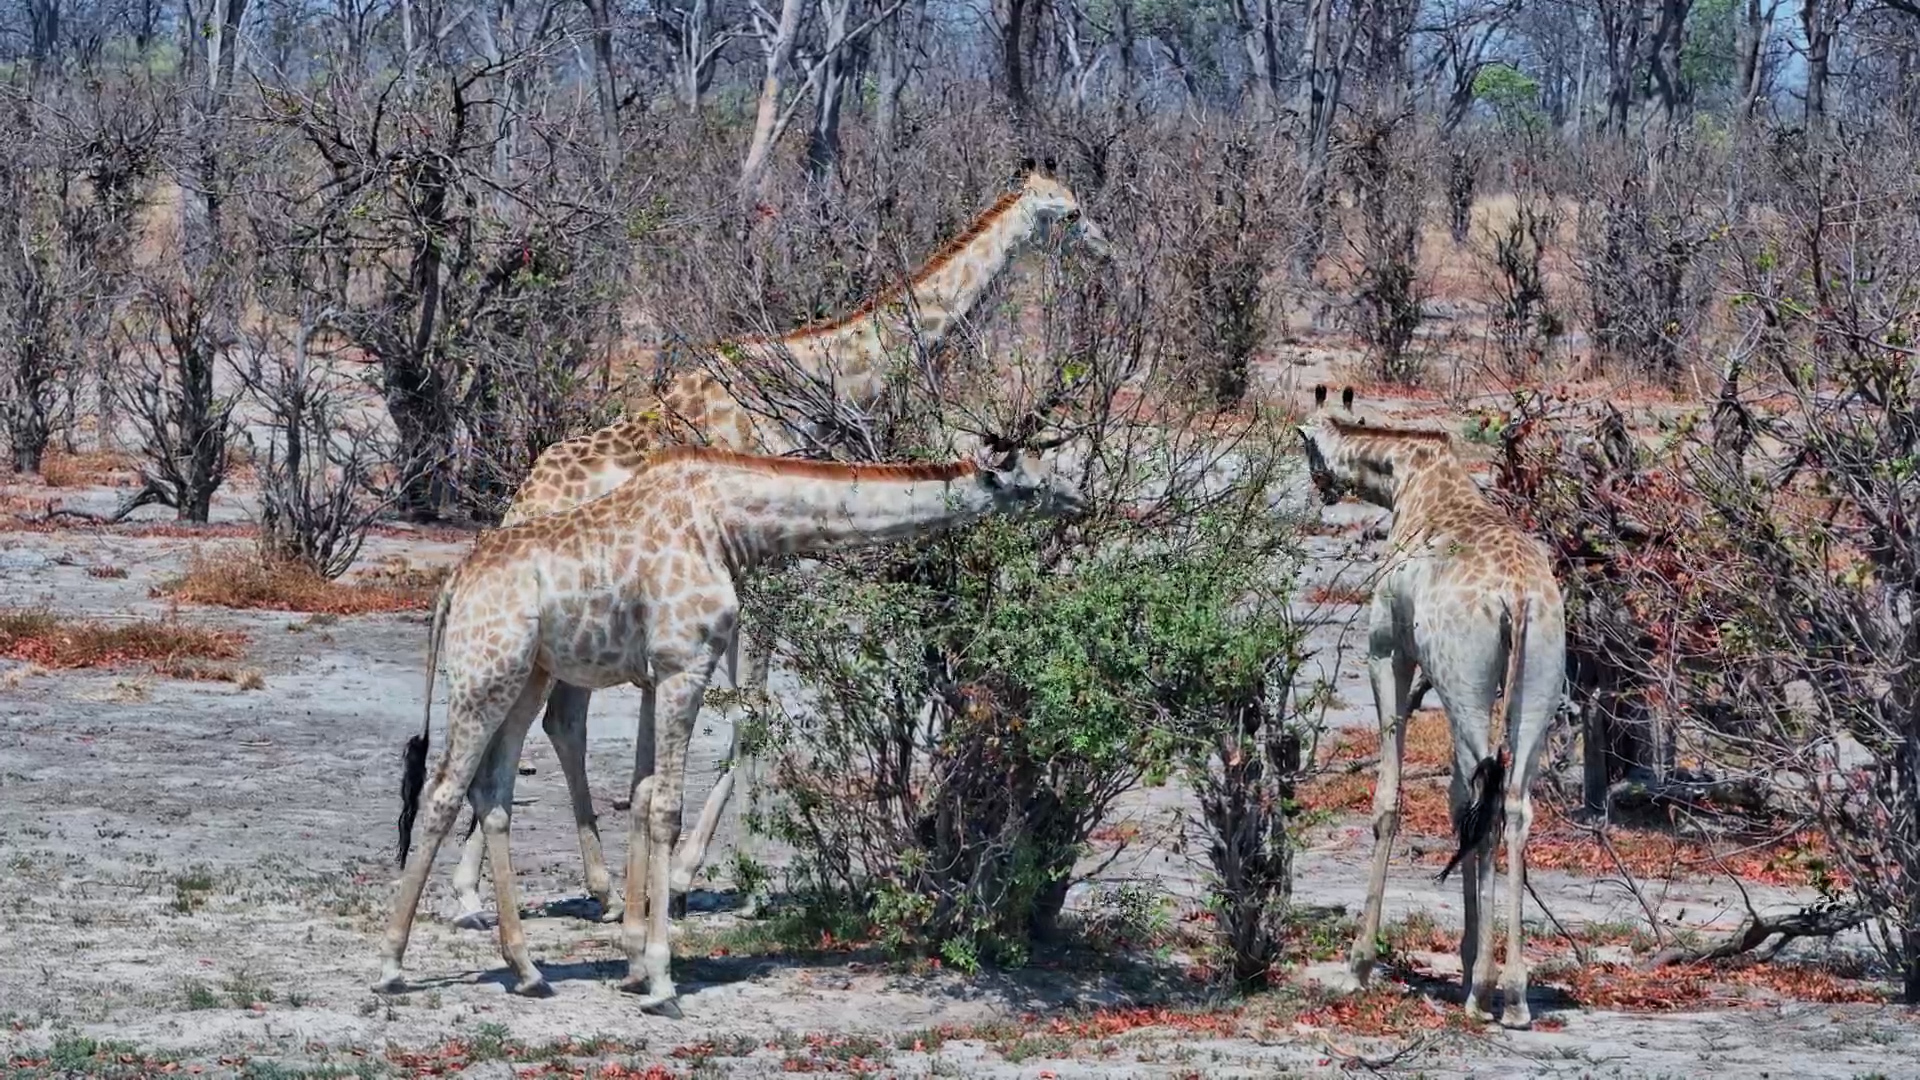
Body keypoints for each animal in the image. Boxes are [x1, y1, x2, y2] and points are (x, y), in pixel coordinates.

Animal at [377, 443, 1089, 1013]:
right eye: (1032, 482)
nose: (1080, 500)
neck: (728, 522)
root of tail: (454, 584)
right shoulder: (685, 663)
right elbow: (666, 806)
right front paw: (661, 982)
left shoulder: (654, 675)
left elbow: (640, 797)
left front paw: (632, 963)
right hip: (485, 677)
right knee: (443, 794)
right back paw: (391, 966)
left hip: (527, 677)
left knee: (492, 793)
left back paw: (527, 971)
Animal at [443, 158, 1113, 929]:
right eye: (1070, 211)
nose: (1106, 248)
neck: (819, 373)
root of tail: (521, 502)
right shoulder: (768, 572)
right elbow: (752, 713)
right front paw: (723, 880)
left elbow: (746, 713)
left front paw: (689, 876)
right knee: (542, 718)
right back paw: (507, 892)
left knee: (556, 720)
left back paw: (568, 889)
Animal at [1295, 385, 1566, 1029]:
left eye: (1306, 444)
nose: (1321, 485)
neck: (1406, 478)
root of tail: (1518, 597)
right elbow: (1456, 799)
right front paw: (1466, 959)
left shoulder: (1387, 652)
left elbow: (1389, 800)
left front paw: (1358, 964)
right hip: (1534, 692)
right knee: (1510, 806)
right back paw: (1513, 993)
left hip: (1464, 684)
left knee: (1488, 807)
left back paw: (1486, 993)